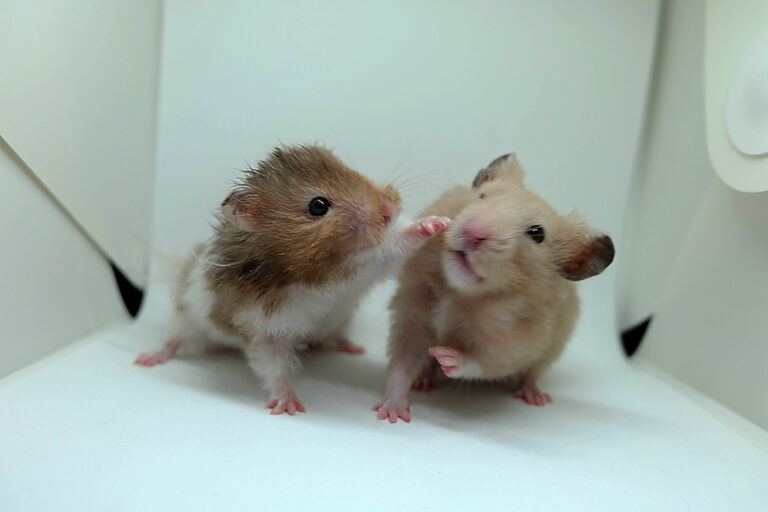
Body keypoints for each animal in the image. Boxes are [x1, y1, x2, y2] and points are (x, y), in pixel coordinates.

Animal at [135, 145, 450, 415]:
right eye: (318, 205)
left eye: (352, 170)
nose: (389, 210)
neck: (323, 273)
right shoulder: (263, 327)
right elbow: (274, 368)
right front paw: (290, 407)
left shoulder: (369, 265)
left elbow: (397, 245)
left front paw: (438, 223)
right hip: (189, 314)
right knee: (175, 337)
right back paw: (147, 359)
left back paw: (352, 347)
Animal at [374, 153, 614, 423]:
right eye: (481, 196)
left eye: (537, 233)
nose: (474, 232)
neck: (459, 292)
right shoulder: (412, 316)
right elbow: (402, 362)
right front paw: (391, 414)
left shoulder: (514, 347)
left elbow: (483, 363)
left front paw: (445, 357)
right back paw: (424, 382)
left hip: (552, 350)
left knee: (532, 374)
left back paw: (536, 397)